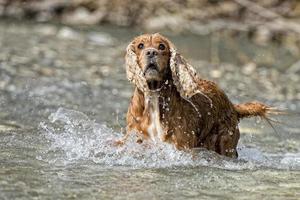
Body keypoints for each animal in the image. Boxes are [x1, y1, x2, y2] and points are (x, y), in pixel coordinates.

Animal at [118, 33, 278, 158]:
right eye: (140, 45)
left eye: (162, 47)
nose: (151, 52)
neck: (154, 96)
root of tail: (232, 105)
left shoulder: (182, 145)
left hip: (225, 143)